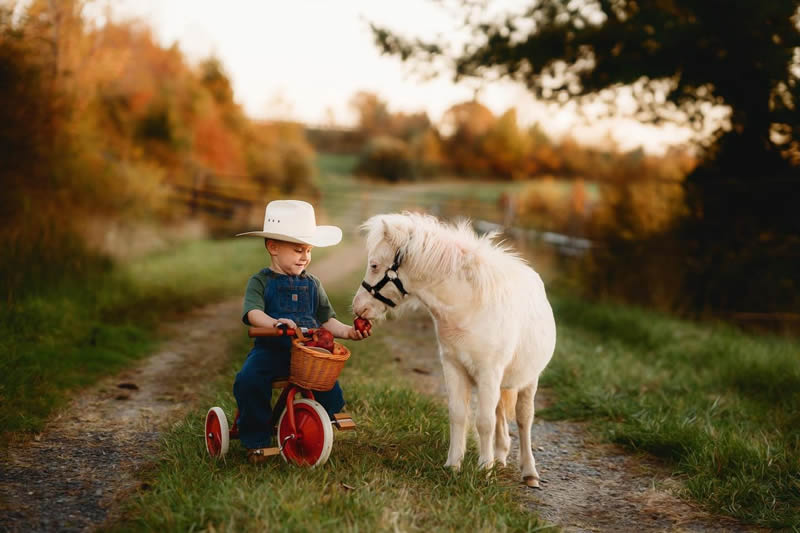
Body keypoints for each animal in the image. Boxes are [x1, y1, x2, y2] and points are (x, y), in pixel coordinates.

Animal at [352, 212, 556, 486]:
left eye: (374, 265)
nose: (358, 307)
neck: (469, 308)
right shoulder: (453, 367)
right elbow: (459, 415)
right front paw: (453, 465)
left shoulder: (488, 372)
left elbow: (484, 422)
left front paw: (484, 469)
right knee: (500, 414)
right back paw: (501, 457)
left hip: (528, 380)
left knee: (524, 420)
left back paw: (529, 472)